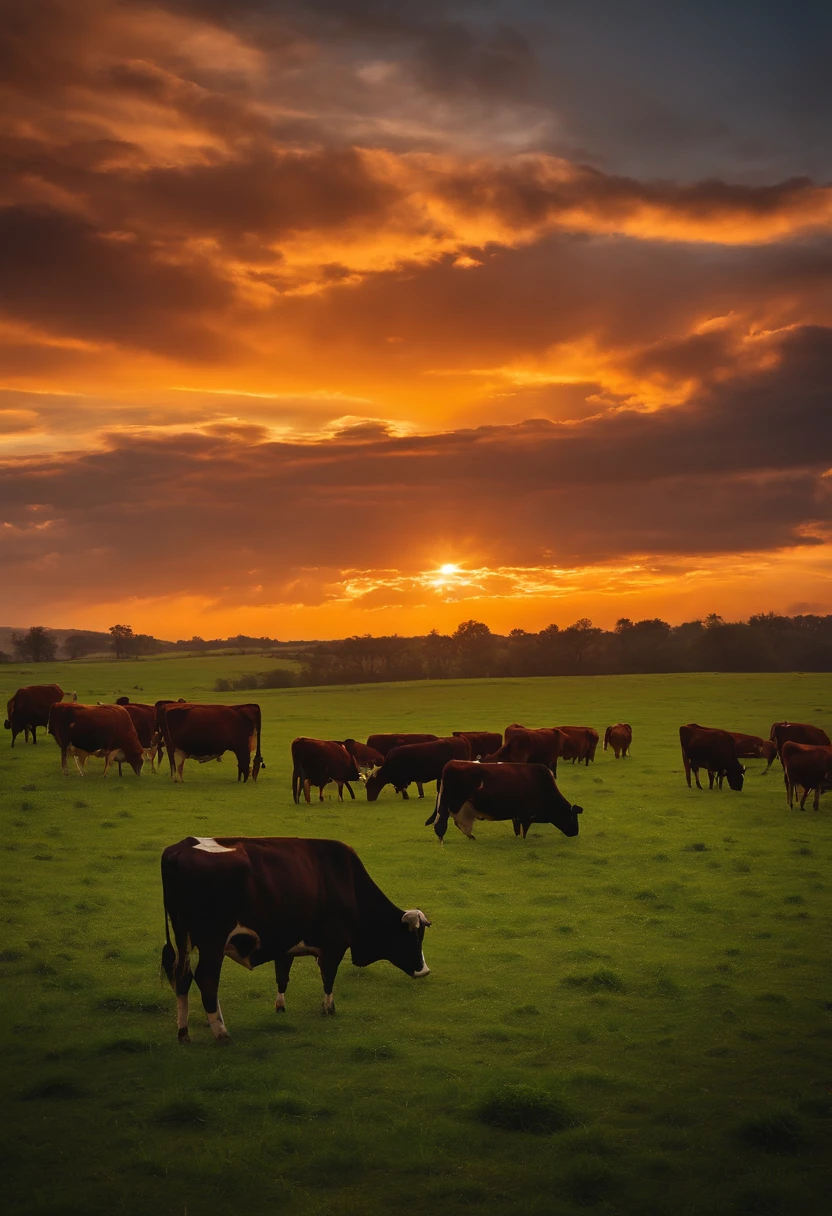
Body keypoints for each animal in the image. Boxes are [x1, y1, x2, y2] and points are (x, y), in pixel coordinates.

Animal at [425, 763, 581, 841]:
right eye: (573, 817)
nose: (575, 832)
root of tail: (451, 763)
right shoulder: (525, 815)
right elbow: (524, 831)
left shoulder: (516, 815)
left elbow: (517, 829)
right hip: (447, 804)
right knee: (440, 824)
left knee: (458, 823)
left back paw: (471, 836)